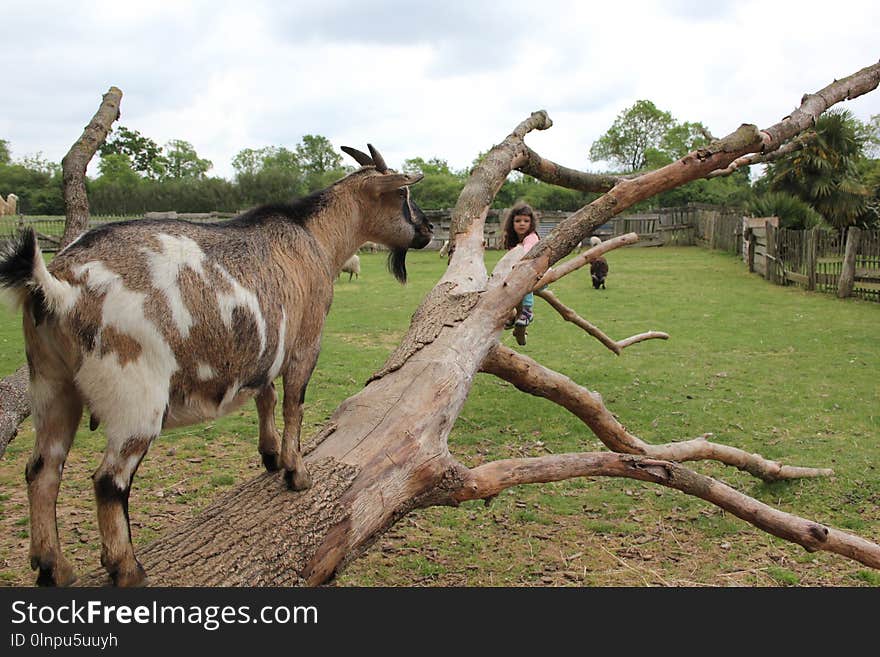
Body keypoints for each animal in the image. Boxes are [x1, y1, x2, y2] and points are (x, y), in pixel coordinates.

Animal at [0, 144, 434, 584]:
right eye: (403, 194)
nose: (429, 229)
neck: (314, 237)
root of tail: (58, 286)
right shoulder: (305, 342)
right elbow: (293, 403)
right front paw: (297, 473)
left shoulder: (265, 348)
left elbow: (266, 396)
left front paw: (270, 456)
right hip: (134, 390)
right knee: (109, 480)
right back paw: (126, 567)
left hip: (50, 382)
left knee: (43, 470)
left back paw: (54, 567)